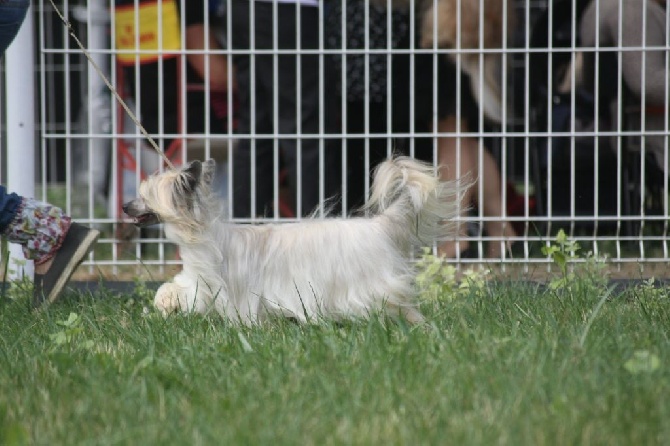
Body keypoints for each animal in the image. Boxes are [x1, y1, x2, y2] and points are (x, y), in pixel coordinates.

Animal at [123, 157, 462, 324]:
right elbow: (171, 291)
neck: (206, 236)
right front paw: (164, 306)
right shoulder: (199, 283)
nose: (125, 206)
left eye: (144, 196)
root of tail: (381, 225)